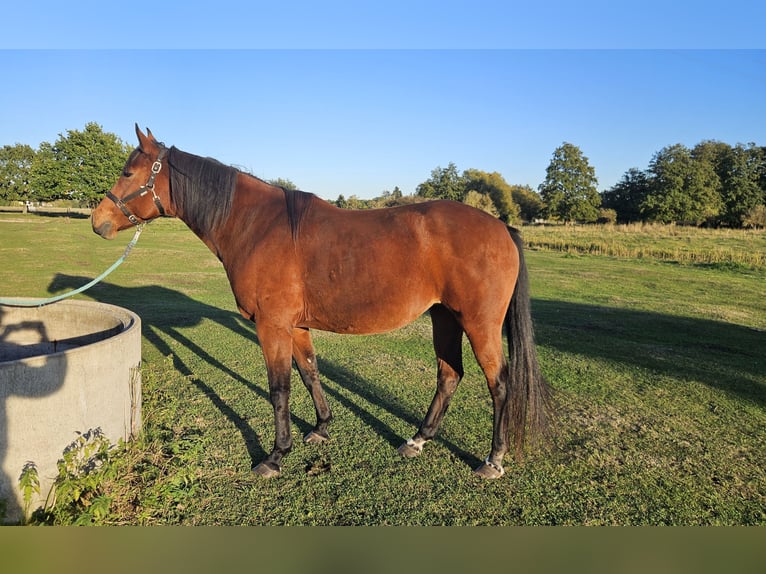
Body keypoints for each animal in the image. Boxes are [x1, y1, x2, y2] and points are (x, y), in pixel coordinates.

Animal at [92, 125, 551, 479]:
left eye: (128, 171)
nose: (98, 221)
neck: (258, 226)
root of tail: (502, 227)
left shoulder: (271, 325)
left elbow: (279, 388)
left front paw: (275, 456)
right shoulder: (295, 325)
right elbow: (310, 372)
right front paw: (322, 427)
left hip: (478, 323)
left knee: (499, 384)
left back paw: (493, 460)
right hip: (445, 318)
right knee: (449, 374)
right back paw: (418, 440)